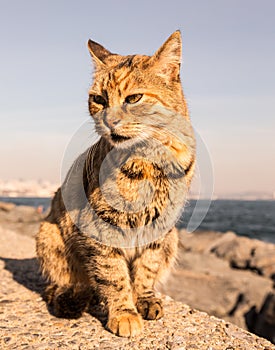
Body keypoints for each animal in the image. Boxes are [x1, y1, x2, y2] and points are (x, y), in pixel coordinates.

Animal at [36, 31, 196, 338]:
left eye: (133, 98)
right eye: (98, 99)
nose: (109, 121)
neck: (151, 161)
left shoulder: (161, 227)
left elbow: (147, 267)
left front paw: (143, 298)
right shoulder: (100, 225)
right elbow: (113, 274)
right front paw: (124, 312)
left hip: (173, 238)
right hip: (49, 234)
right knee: (69, 282)